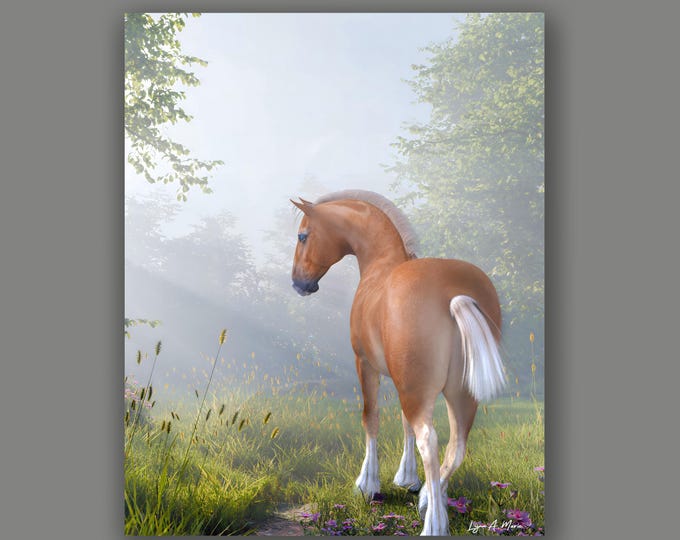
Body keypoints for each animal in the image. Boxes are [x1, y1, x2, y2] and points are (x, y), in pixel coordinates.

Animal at [290, 190, 506, 536]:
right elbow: (404, 424)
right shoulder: (402, 379)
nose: (298, 283)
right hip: (458, 393)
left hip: (420, 388)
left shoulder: (365, 364)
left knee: (430, 441)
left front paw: (367, 484)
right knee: (456, 446)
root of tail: (453, 294)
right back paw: (429, 500)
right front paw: (408, 480)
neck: (381, 264)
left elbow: (371, 418)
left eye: (303, 236)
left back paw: (433, 524)